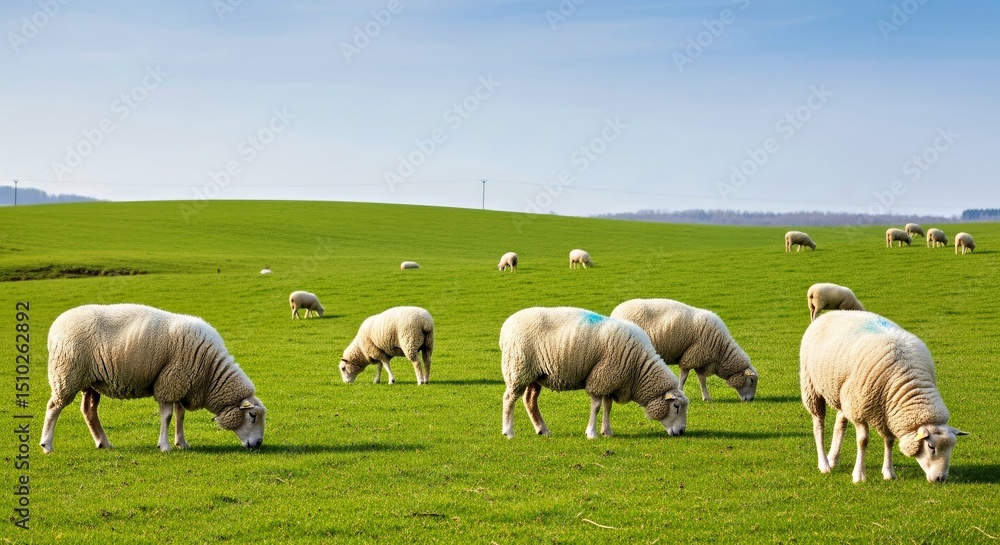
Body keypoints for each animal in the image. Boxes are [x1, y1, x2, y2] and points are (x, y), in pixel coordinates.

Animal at [40, 304, 266, 453]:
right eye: (252, 416)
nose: (258, 444)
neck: (210, 372)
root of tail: (55, 327)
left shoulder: (181, 383)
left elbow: (180, 415)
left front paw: (182, 442)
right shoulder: (169, 382)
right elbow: (167, 416)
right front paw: (164, 446)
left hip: (91, 382)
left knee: (88, 410)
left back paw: (103, 442)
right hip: (67, 373)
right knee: (54, 406)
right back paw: (47, 444)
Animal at [500, 306, 689, 439]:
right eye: (676, 406)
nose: (681, 432)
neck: (638, 370)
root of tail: (507, 325)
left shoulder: (611, 381)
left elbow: (607, 406)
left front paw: (607, 431)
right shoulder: (601, 378)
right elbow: (597, 407)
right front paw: (591, 433)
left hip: (535, 374)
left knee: (530, 400)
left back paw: (542, 430)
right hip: (517, 369)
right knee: (509, 398)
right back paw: (508, 432)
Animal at [611, 299, 757, 402]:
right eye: (751, 380)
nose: (751, 400)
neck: (721, 349)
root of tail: (616, 311)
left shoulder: (699, 359)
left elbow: (702, 380)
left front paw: (706, 397)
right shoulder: (693, 356)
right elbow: (685, 377)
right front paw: (681, 391)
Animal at [800, 310, 967, 483]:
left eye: (952, 447)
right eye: (931, 447)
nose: (940, 478)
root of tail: (833, 312)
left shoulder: (886, 412)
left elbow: (889, 441)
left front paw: (888, 472)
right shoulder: (859, 409)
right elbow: (863, 441)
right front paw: (859, 475)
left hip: (844, 394)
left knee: (840, 424)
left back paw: (833, 459)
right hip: (812, 387)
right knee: (818, 425)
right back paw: (824, 464)